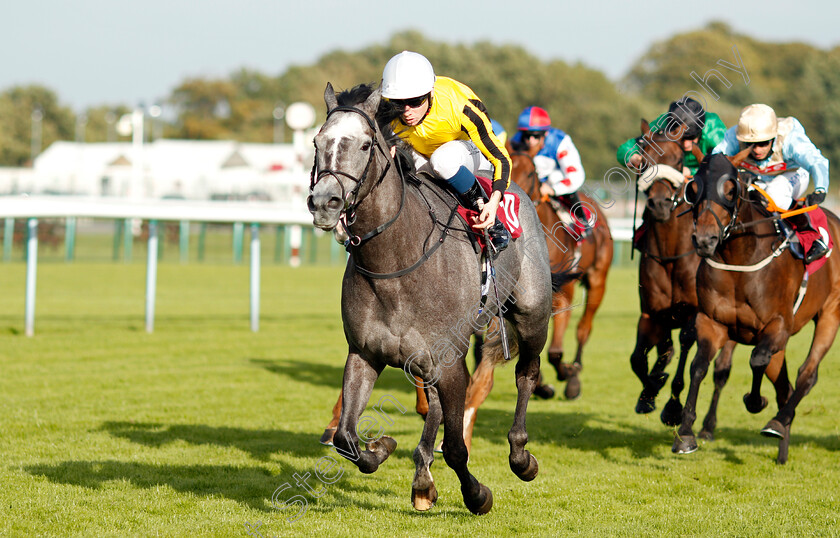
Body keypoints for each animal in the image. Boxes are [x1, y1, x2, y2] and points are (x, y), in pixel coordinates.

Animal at [308, 82, 556, 510]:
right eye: (317, 142)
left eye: (364, 144)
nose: (325, 202)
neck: (395, 262)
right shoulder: (365, 353)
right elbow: (346, 439)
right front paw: (382, 447)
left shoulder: (450, 359)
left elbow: (456, 447)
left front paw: (477, 495)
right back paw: (422, 475)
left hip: (531, 315)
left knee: (527, 372)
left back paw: (520, 455)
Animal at [506, 147, 616, 398]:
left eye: (530, 173)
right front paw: (542, 386)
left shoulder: (563, 292)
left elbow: (555, 351)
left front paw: (566, 373)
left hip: (598, 280)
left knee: (584, 328)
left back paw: (574, 370)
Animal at [632, 118, 736, 436]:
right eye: (644, 158)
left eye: (678, 160)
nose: (660, 204)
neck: (670, 254)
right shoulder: (652, 312)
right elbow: (640, 358)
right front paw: (649, 391)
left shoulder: (693, 313)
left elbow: (685, 351)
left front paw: (673, 408)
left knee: (721, 371)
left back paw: (708, 425)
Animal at [672, 151, 840, 460]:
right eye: (693, 189)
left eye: (730, 190)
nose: (705, 240)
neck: (740, 257)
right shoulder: (712, 322)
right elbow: (699, 366)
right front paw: (686, 433)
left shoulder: (778, 326)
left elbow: (756, 359)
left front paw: (755, 401)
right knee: (784, 385)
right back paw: (782, 447)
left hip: (830, 315)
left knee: (806, 375)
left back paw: (778, 422)